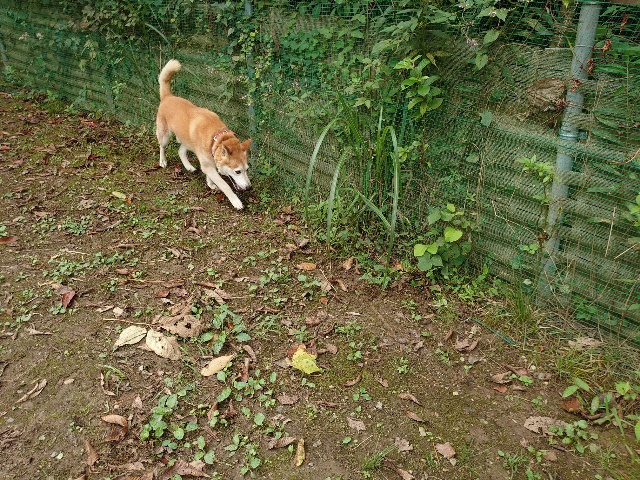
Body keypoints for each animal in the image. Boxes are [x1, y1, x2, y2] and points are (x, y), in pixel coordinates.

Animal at [156, 59, 252, 210]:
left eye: (247, 169)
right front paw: (236, 201)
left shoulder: (209, 162)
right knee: (162, 147)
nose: (249, 187)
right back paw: (163, 161)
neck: (216, 137)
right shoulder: (208, 165)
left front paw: (210, 184)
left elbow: (210, 175)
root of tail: (168, 96)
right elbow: (225, 185)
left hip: (187, 142)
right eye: (238, 171)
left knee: (180, 151)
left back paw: (189, 167)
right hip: (165, 135)